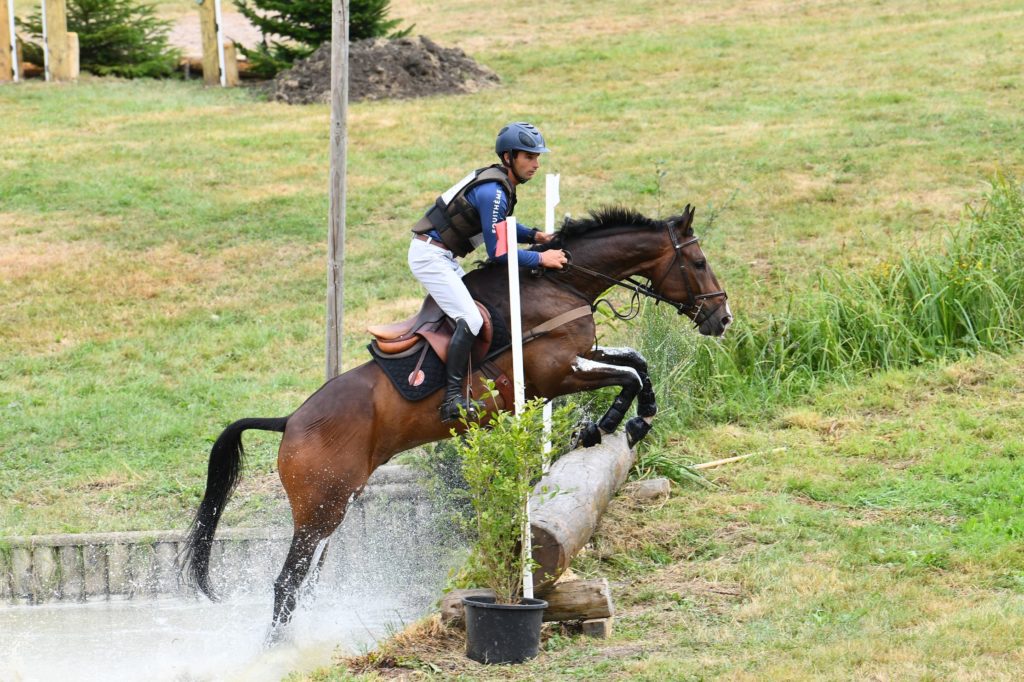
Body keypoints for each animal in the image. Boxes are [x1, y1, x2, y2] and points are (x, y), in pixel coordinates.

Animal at [182, 201, 729, 638]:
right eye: (699, 262)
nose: (721, 319)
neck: (559, 284)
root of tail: (292, 419)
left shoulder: (581, 356)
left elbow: (637, 362)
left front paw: (624, 420)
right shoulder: (556, 375)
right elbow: (629, 375)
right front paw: (613, 424)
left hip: (338, 504)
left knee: (307, 582)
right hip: (319, 509)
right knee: (286, 584)